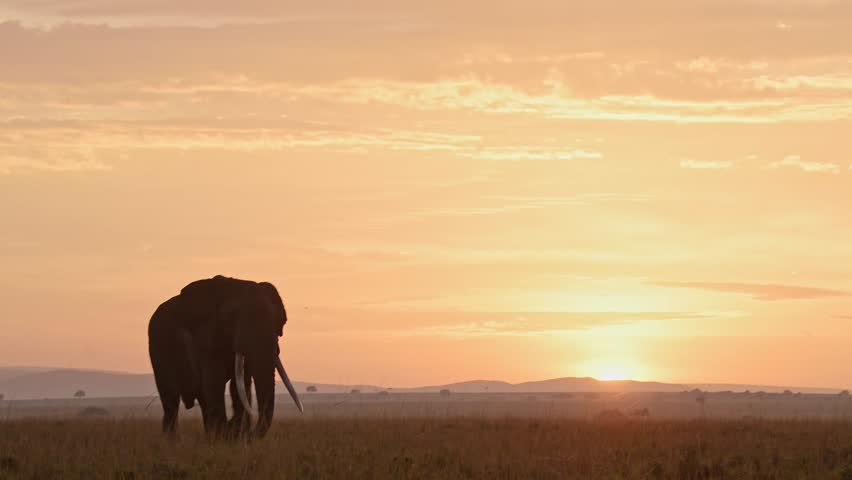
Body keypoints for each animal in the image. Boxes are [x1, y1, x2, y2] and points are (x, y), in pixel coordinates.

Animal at [148, 275, 303, 437]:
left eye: (277, 323)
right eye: (231, 319)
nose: (233, 425)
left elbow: (241, 384)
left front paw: (234, 434)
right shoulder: (206, 338)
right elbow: (214, 381)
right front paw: (226, 435)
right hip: (158, 347)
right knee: (171, 401)